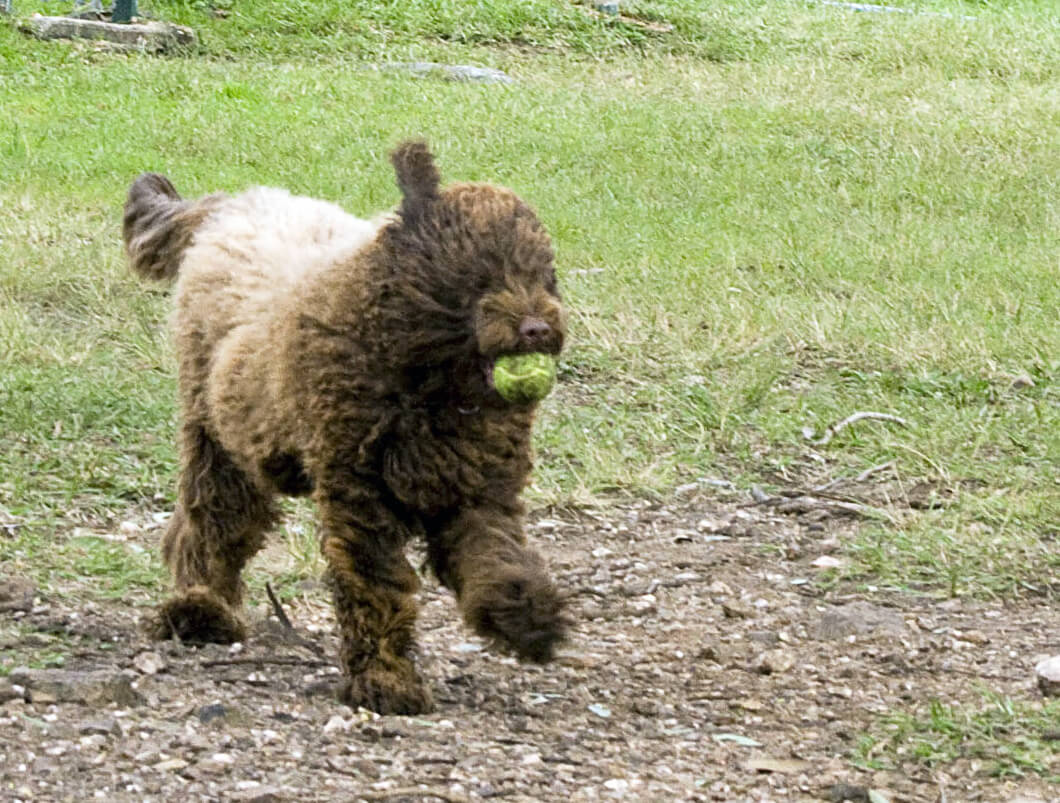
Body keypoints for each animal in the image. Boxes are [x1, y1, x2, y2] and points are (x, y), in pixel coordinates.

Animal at [121, 141, 572, 711]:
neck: (427, 384)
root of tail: (234, 205)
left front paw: (526, 616)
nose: (537, 327)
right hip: (218, 435)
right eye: (478, 278)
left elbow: (496, 553)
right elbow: (375, 587)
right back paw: (199, 610)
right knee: (210, 524)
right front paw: (385, 679)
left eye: (544, 276)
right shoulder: (359, 492)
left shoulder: (476, 488)